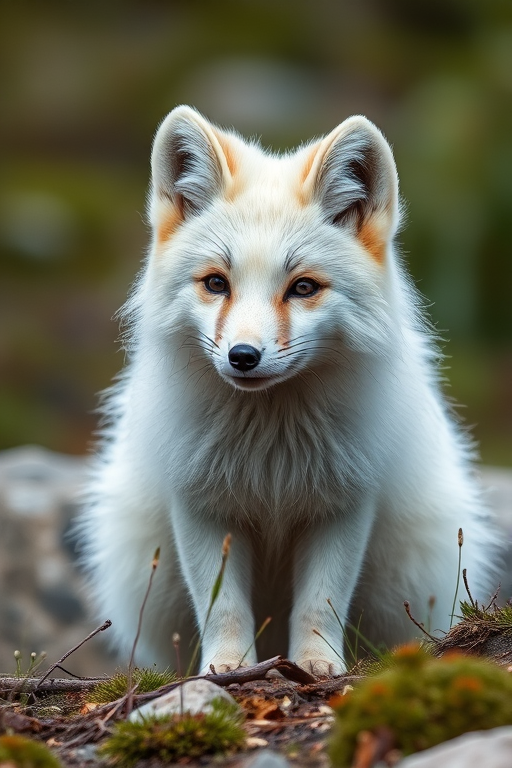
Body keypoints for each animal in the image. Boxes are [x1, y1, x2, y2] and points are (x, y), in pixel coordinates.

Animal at [82, 105, 500, 676]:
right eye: (216, 283)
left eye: (303, 287)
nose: (242, 356)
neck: (272, 455)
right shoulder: (200, 507)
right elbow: (223, 608)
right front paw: (228, 669)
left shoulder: (342, 506)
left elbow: (320, 605)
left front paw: (318, 666)